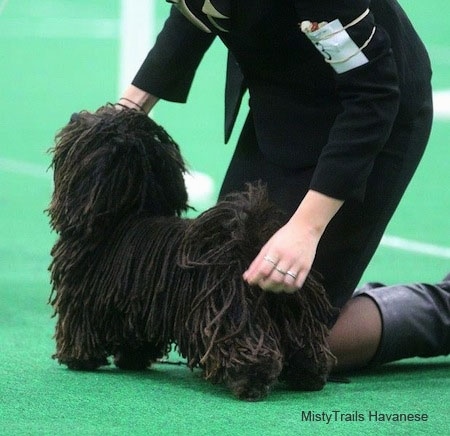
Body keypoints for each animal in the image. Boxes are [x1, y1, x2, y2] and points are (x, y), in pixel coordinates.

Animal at [48, 104, 338, 398]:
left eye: (94, 124)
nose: (74, 116)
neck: (122, 214)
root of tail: (250, 242)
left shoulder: (81, 296)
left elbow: (78, 329)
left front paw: (78, 359)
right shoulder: (138, 309)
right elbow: (137, 338)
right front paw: (131, 359)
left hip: (229, 310)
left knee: (246, 346)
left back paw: (250, 382)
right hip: (292, 309)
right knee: (305, 344)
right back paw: (309, 375)